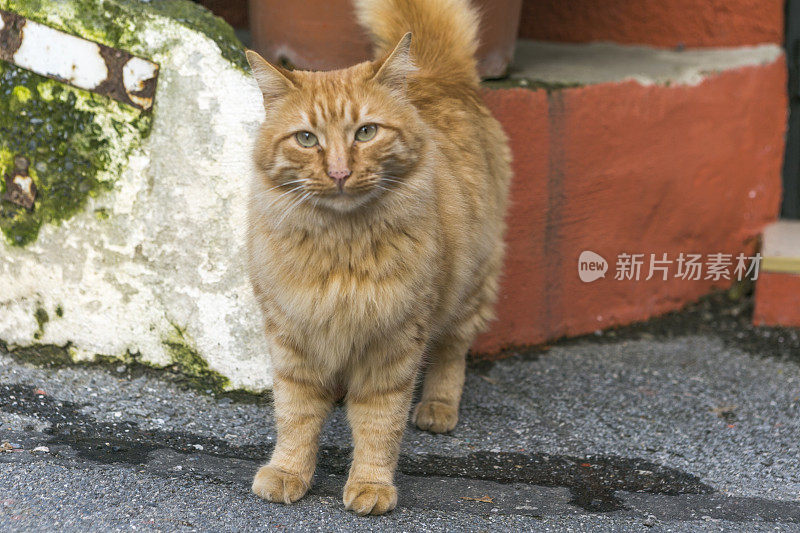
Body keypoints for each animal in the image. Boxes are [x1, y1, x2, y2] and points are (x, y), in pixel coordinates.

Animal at [245, 0, 512, 516]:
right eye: (306, 139)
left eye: (365, 132)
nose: (339, 172)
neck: (340, 250)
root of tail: (437, 74)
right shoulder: (292, 339)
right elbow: (295, 417)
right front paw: (288, 473)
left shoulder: (393, 345)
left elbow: (378, 425)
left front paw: (371, 486)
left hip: (469, 287)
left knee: (452, 353)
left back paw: (437, 409)